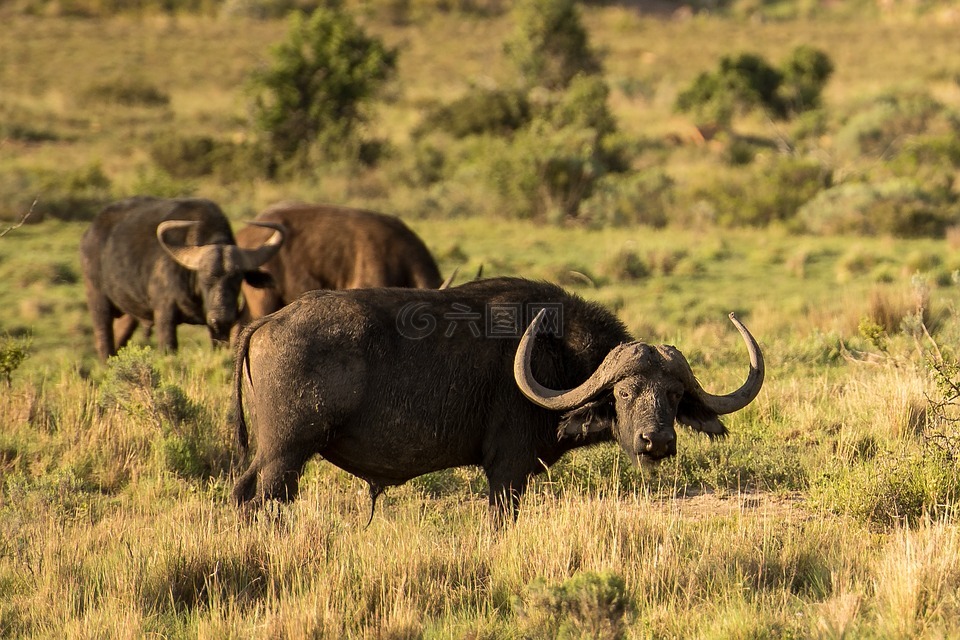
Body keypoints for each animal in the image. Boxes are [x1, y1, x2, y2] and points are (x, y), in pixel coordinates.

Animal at [80, 196, 284, 360]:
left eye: (237, 278)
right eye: (205, 278)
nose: (221, 317)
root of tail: (90, 233)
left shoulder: (218, 330)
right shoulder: (165, 315)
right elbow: (168, 348)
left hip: (129, 312)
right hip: (98, 301)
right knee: (103, 340)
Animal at [229, 278, 760, 524]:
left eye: (674, 394)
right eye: (625, 392)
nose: (657, 442)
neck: (555, 353)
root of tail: (266, 322)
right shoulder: (508, 470)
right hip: (284, 456)